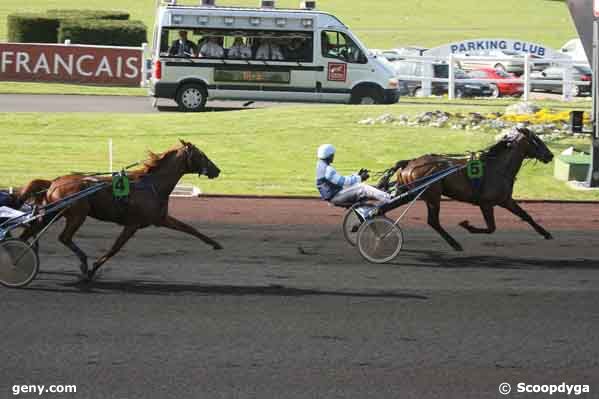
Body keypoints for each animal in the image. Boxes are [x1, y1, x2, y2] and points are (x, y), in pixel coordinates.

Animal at [20, 141, 225, 282]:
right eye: (201, 155)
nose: (217, 170)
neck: (152, 184)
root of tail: (54, 182)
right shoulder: (132, 224)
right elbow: (114, 248)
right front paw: (92, 269)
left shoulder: (160, 219)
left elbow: (190, 228)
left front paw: (215, 244)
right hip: (76, 214)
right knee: (64, 237)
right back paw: (83, 262)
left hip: (52, 213)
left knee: (30, 232)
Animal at [378, 128, 556, 252]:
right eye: (536, 139)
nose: (550, 155)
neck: (497, 167)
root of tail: (409, 163)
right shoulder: (486, 204)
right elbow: (491, 228)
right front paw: (466, 225)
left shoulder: (505, 200)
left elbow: (526, 215)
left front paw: (546, 233)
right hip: (432, 195)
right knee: (433, 221)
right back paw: (455, 244)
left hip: (410, 193)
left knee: (383, 208)